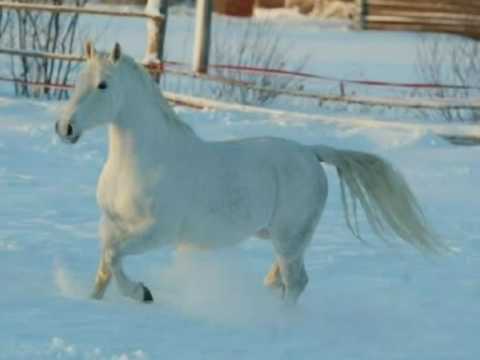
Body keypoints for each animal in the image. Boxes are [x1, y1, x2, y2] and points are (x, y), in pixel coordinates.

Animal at [55, 43, 442, 304]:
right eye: (78, 79)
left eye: (103, 85)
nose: (64, 128)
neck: (143, 161)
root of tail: (312, 153)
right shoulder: (112, 224)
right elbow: (106, 262)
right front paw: (93, 301)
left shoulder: (157, 232)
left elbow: (113, 257)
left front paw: (141, 293)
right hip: (287, 239)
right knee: (281, 279)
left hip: (289, 238)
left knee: (296, 282)